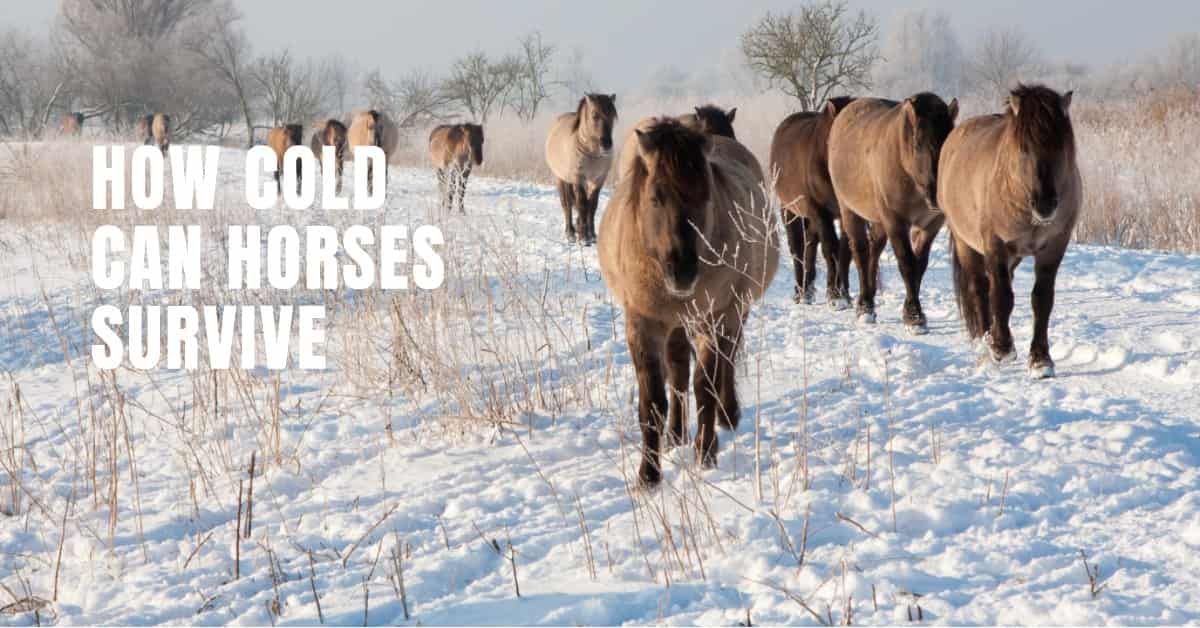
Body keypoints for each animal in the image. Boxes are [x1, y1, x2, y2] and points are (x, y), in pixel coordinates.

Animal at [545, 93, 617, 244]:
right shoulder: (578, 179)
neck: (591, 152)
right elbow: (582, 204)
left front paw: (592, 235)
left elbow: (592, 205)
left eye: (613, 115)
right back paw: (570, 233)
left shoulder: (598, 180)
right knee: (566, 205)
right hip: (561, 179)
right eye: (595, 115)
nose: (606, 144)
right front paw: (584, 237)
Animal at [598, 118, 778, 487]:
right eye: (656, 197)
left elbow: (705, 386)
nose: (682, 271)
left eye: (706, 196)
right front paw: (649, 474)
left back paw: (727, 415)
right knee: (679, 371)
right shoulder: (644, 323)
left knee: (726, 362)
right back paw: (676, 434)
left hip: (731, 314)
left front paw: (705, 453)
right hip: (679, 325)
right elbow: (654, 400)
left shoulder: (714, 317)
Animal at [769, 96, 855, 307]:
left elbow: (844, 251)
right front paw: (834, 295)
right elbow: (830, 248)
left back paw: (807, 290)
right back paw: (800, 291)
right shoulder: (819, 211)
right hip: (790, 210)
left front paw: (843, 294)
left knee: (810, 244)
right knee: (798, 247)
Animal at [828, 93, 958, 332]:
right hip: (850, 211)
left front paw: (912, 312)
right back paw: (865, 307)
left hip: (879, 220)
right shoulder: (896, 222)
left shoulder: (929, 225)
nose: (937, 196)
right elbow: (906, 264)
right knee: (861, 252)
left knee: (874, 250)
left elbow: (919, 265)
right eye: (917, 144)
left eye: (948, 142)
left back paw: (869, 298)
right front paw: (914, 316)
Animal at [939, 84, 1081, 378]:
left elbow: (1042, 300)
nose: (1045, 204)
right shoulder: (995, 245)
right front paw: (1002, 348)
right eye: (1024, 148)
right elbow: (1001, 297)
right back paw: (986, 339)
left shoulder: (1053, 248)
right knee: (981, 288)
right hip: (966, 243)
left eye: (1061, 146)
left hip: (1012, 257)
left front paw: (1041, 360)